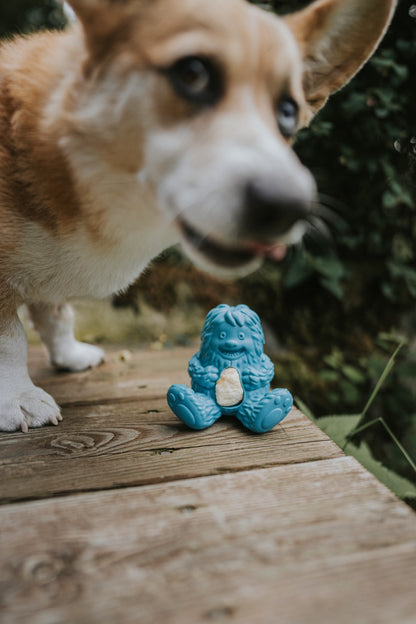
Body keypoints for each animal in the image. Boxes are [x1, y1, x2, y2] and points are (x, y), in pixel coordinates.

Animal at [0, 0, 396, 428]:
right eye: (193, 73)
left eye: (288, 112)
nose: (288, 208)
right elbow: (12, 340)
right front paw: (18, 398)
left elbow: (57, 315)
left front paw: (69, 357)